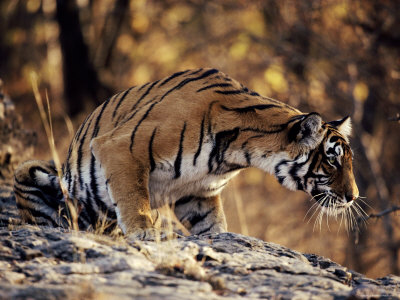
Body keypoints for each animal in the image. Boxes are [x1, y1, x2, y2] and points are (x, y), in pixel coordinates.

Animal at [14, 67, 360, 239]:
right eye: (332, 160)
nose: (354, 197)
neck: (236, 155)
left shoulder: (199, 192)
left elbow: (212, 224)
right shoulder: (121, 146)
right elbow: (132, 197)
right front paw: (144, 232)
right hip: (31, 170)